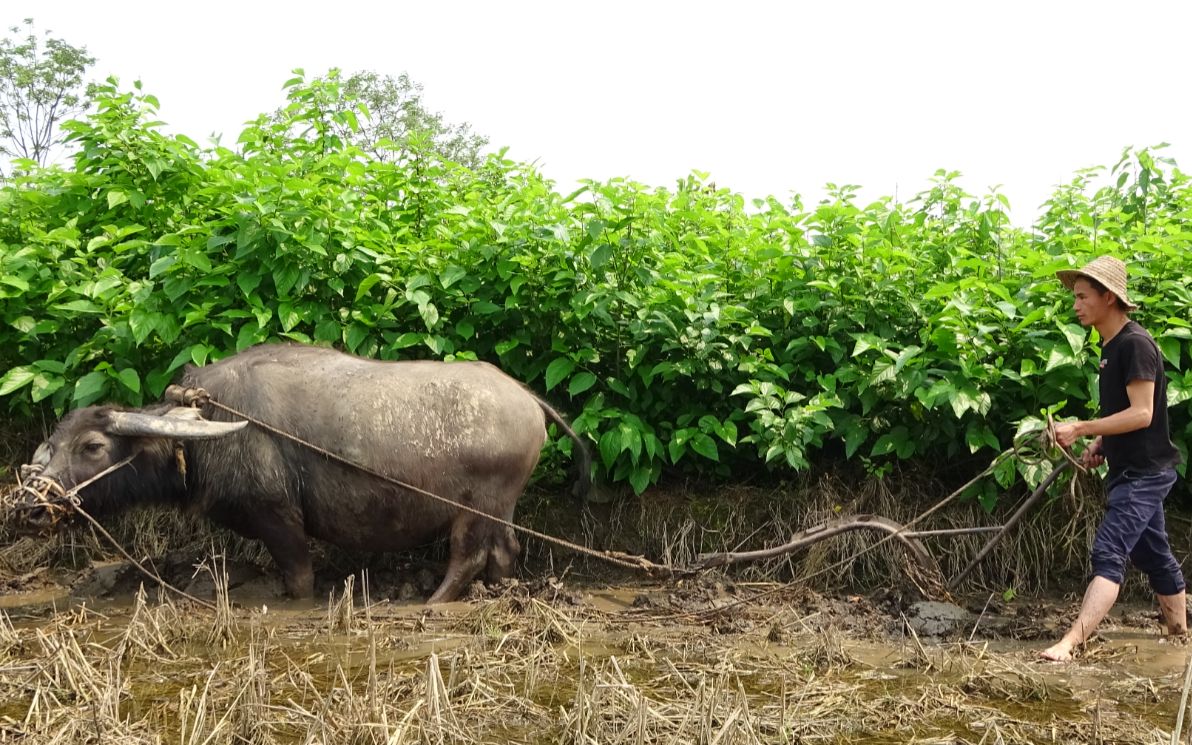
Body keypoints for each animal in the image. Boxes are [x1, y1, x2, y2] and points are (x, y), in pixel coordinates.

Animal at [16, 345, 593, 600]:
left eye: (93, 445)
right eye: (54, 439)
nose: (27, 506)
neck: (215, 429)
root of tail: (526, 398)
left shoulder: (278, 518)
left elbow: (298, 576)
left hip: (474, 509)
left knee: (467, 556)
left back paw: (430, 602)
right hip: (501, 508)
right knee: (505, 551)